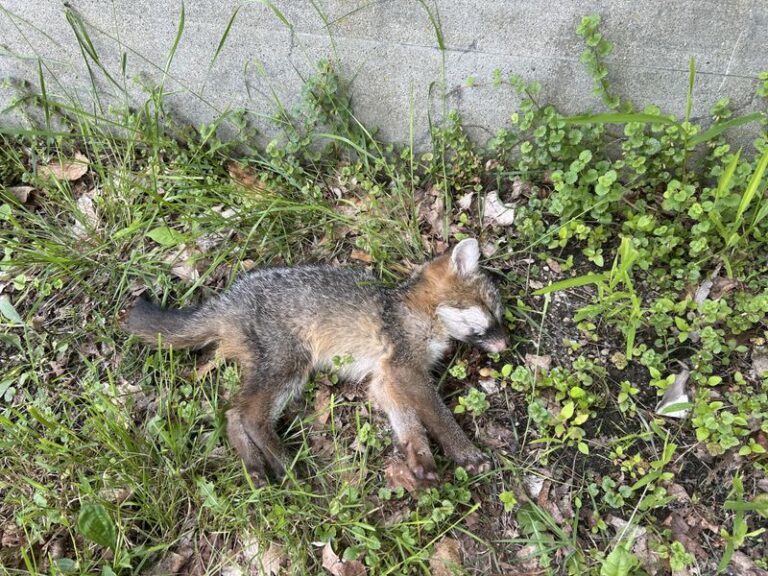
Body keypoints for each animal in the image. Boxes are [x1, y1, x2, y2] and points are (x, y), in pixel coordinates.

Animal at [121, 238, 509, 484]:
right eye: (490, 312)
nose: (506, 343)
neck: (414, 310)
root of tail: (228, 298)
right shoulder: (405, 368)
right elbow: (438, 417)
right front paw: (466, 454)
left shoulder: (385, 379)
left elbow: (409, 425)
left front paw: (421, 462)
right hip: (290, 368)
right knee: (250, 416)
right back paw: (285, 465)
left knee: (233, 413)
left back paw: (255, 468)